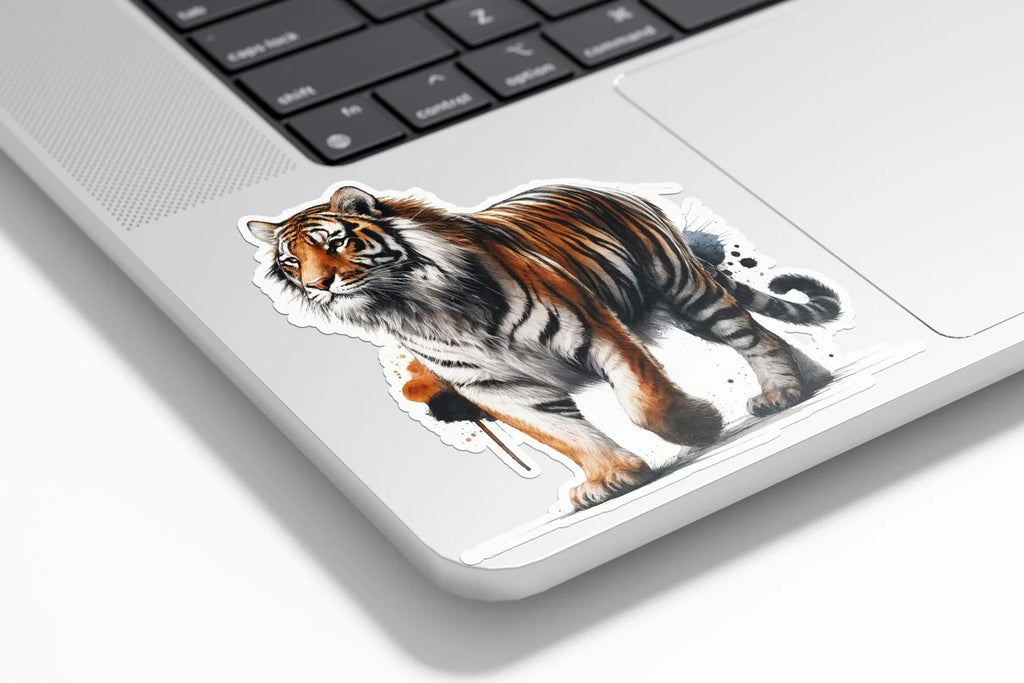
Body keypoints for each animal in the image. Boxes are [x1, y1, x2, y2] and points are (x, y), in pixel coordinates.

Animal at [245, 183, 841, 509]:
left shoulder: (594, 328)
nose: (318, 285)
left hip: (686, 289)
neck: (412, 305)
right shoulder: (494, 386)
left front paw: (697, 427)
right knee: (768, 334)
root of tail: (604, 186)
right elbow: (562, 435)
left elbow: (642, 402)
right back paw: (811, 379)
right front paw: (609, 479)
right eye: (292, 260)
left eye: (335, 242)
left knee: (751, 334)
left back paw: (783, 392)